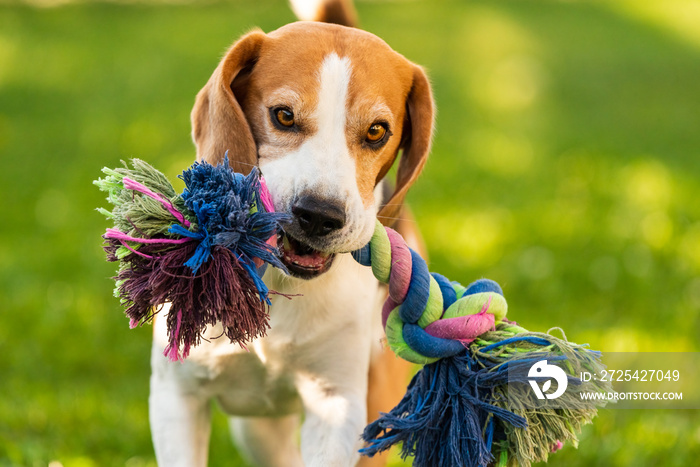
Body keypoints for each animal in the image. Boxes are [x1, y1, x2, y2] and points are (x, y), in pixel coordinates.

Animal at [149, 1, 432, 466]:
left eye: (377, 131)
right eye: (283, 115)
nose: (319, 215)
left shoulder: (337, 404)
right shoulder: (176, 395)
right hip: (255, 432)